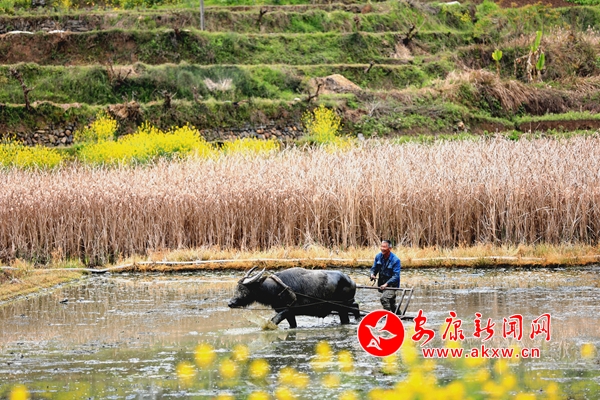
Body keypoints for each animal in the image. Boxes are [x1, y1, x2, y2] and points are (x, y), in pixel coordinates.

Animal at [228, 267, 361, 328]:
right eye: (237, 288)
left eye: (243, 289)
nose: (230, 303)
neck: (277, 289)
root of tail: (351, 280)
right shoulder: (290, 314)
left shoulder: (287, 310)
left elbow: (274, 320)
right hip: (341, 308)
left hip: (345, 304)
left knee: (356, 306)